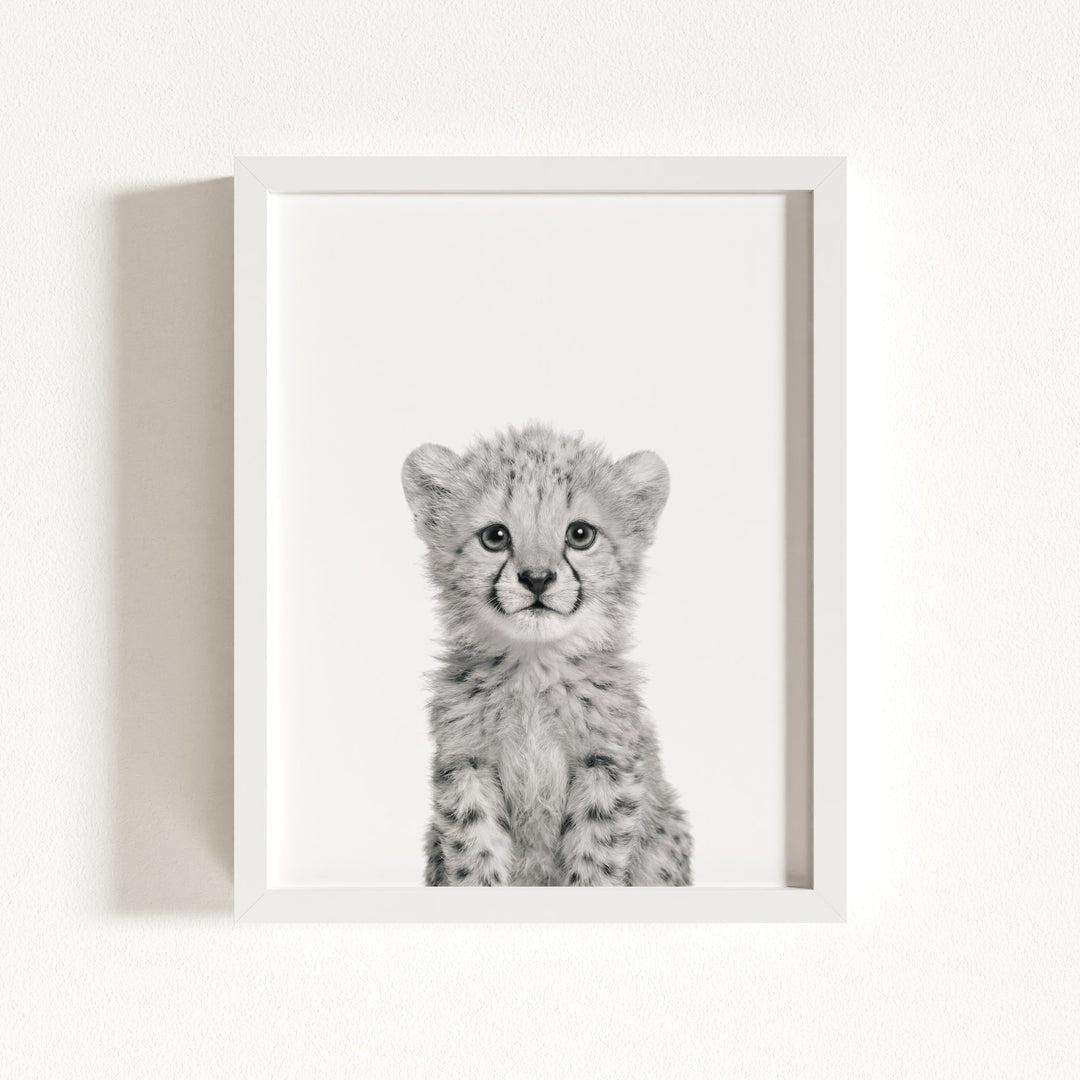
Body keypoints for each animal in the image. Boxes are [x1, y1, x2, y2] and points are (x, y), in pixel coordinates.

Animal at [402, 424, 692, 886]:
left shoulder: (607, 765)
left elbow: (596, 856)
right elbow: (475, 850)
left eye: (580, 534)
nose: (537, 578)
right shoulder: (466, 764)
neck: (533, 669)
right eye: (495, 537)